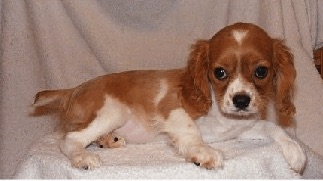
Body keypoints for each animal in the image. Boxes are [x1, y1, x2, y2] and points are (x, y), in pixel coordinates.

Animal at [30, 23, 306, 173]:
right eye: (219, 72)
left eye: (261, 72)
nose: (241, 101)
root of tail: (75, 88)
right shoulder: (173, 110)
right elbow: (191, 131)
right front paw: (202, 152)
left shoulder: (242, 128)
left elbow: (271, 126)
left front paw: (295, 152)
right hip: (112, 110)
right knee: (70, 139)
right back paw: (84, 156)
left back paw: (109, 140)